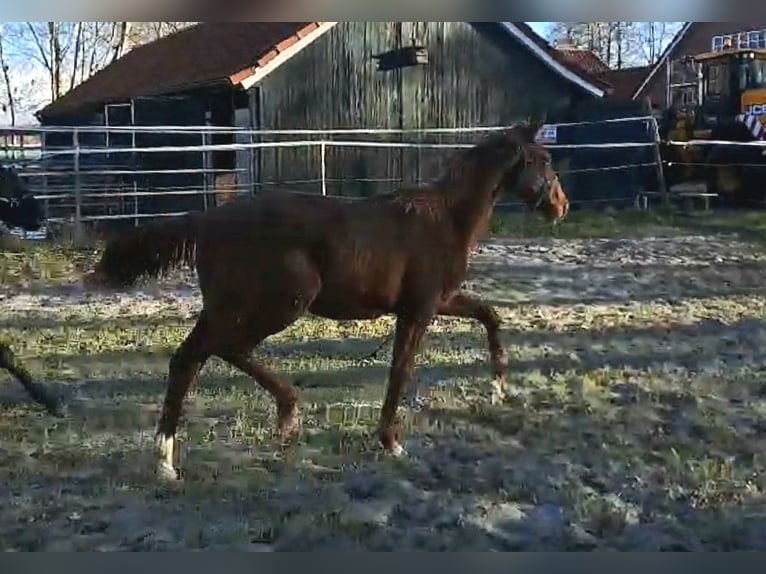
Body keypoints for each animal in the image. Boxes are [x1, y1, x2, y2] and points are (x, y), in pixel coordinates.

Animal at [85, 122, 569, 481]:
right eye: (544, 160)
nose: (560, 206)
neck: (445, 218)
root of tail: (208, 220)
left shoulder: (439, 301)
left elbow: (490, 315)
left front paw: (499, 385)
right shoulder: (418, 310)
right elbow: (400, 371)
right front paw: (391, 442)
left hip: (226, 306)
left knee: (192, 358)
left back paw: (170, 460)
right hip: (281, 302)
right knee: (217, 350)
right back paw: (280, 419)